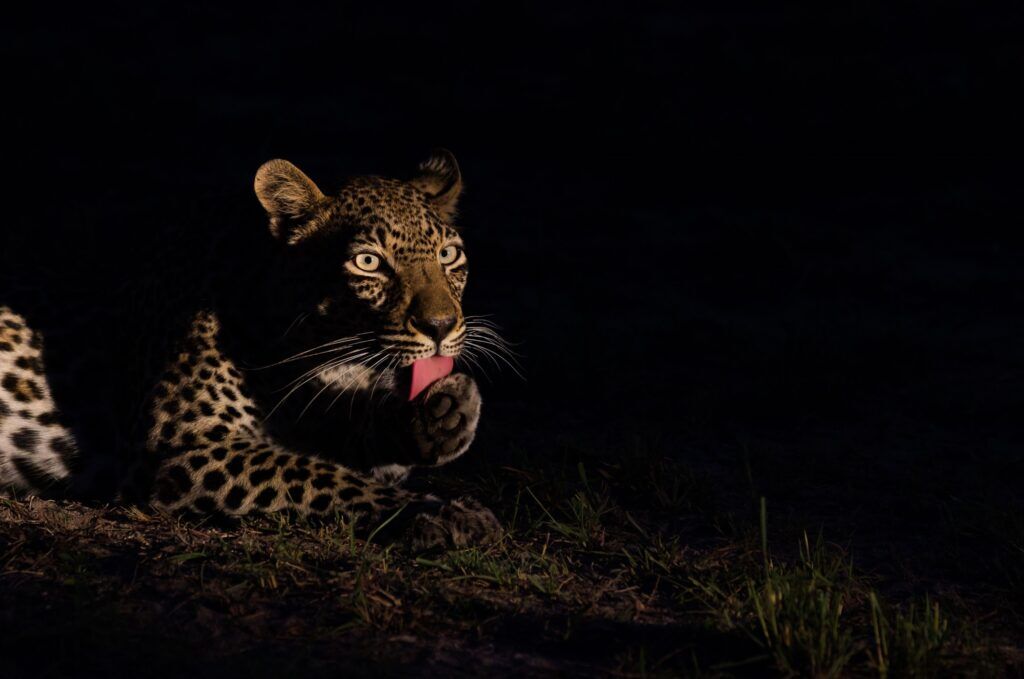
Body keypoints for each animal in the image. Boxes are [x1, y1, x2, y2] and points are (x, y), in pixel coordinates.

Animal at [0, 150, 503, 551]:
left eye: (449, 255)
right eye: (368, 263)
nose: (440, 326)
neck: (307, 355)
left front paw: (444, 413)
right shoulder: (187, 447)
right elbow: (325, 476)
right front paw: (442, 511)